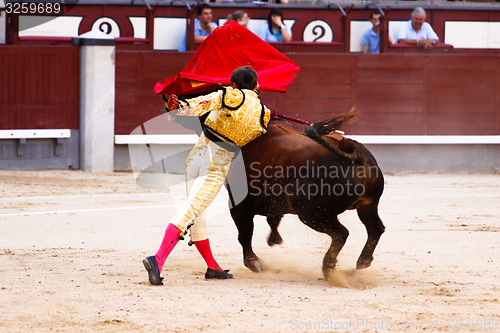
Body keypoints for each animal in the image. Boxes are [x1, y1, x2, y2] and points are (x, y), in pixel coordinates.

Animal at [225, 113, 384, 278]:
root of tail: (356, 153)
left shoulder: (238, 204)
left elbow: (245, 233)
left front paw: (253, 262)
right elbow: (272, 219)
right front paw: (274, 240)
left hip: (312, 214)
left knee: (341, 233)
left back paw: (329, 268)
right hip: (368, 205)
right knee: (375, 228)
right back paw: (363, 261)